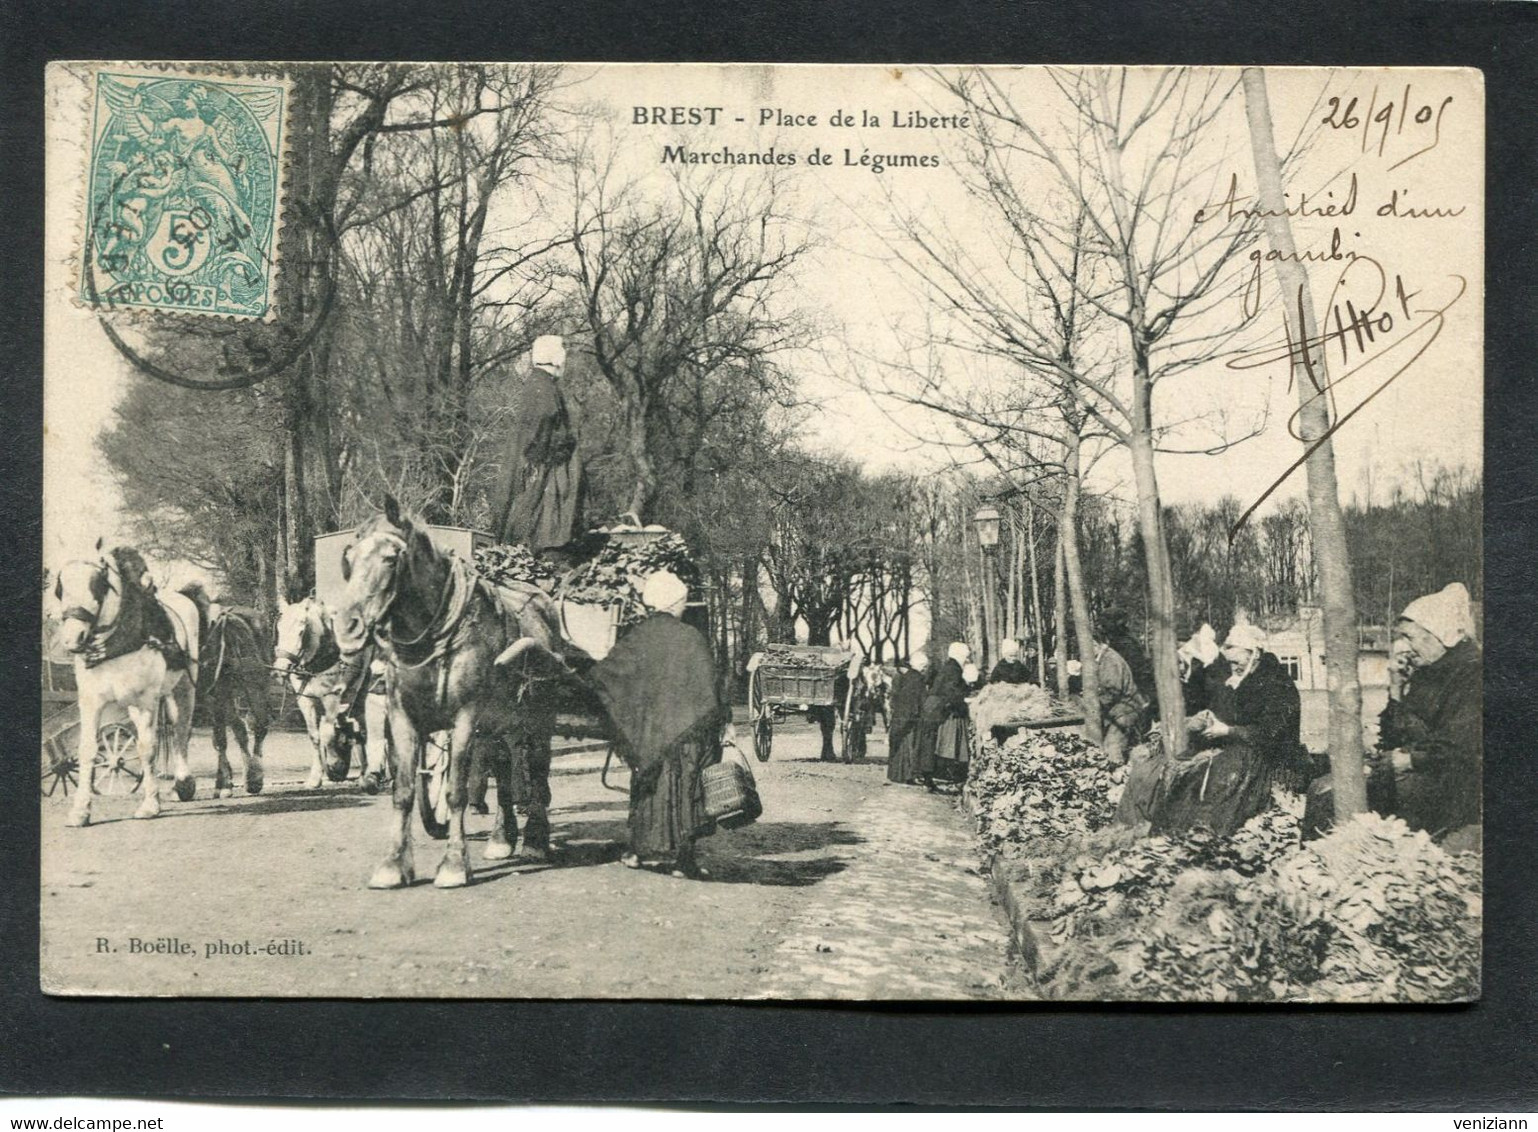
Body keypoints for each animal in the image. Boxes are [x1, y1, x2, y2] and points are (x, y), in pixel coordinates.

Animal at [53, 547, 199, 824]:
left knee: (180, 728)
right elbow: (87, 749)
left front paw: (150, 804)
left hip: (184, 685)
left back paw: (184, 782)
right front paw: (80, 810)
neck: (116, 644)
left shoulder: (146, 700)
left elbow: (146, 748)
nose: (72, 639)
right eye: (61, 587)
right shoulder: (90, 702)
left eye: (97, 584)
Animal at [273, 596, 390, 793]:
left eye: (301, 631)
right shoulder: (306, 700)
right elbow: (315, 736)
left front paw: (335, 765)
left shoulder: (332, 697)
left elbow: (327, 733)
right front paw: (315, 778)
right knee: (364, 731)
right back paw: (369, 773)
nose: (281, 668)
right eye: (279, 629)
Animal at [336, 498, 578, 885]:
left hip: (540, 714)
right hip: (500, 722)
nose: (347, 627)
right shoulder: (403, 717)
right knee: (505, 770)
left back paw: (536, 839)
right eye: (350, 557)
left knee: (537, 770)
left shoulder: (464, 719)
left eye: (390, 559)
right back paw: (501, 837)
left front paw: (453, 864)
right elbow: (404, 791)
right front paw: (393, 865)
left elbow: (455, 792)